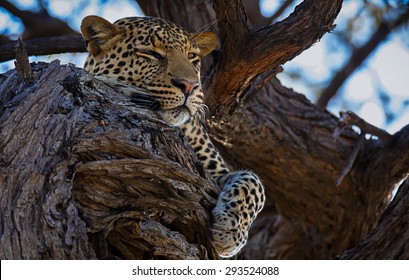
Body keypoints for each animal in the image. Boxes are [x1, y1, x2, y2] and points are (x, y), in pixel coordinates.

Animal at [80, 14, 266, 258]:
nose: (189, 85)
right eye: (151, 53)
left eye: (192, 56)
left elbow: (254, 184)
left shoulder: (215, 173)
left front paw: (230, 231)